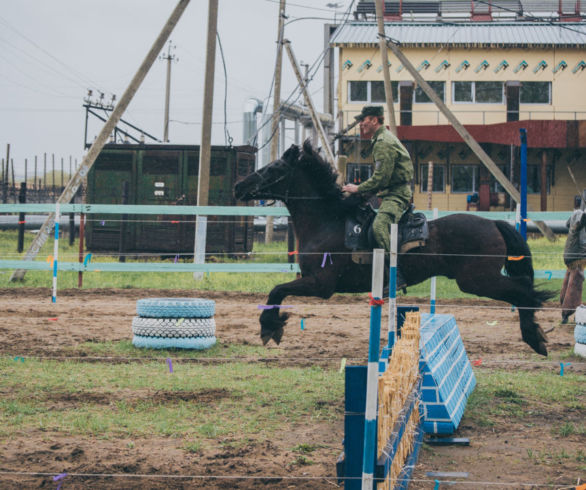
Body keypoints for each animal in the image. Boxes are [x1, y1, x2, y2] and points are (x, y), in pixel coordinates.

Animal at [232, 142, 548, 356]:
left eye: (274, 169)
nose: (239, 186)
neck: (328, 220)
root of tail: (493, 223)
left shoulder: (320, 285)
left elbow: (277, 291)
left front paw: (269, 327)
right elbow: (278, 291)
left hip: (477, 281)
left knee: (523, 290)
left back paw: (535, 337)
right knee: (522, 289)